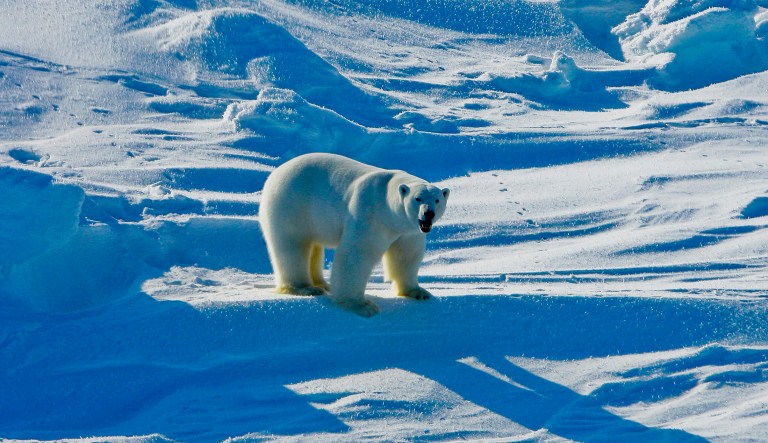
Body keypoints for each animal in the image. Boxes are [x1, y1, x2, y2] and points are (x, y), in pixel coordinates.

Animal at [259, 153, 449, 317]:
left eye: (437, 200)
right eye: (418, 198)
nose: (428, 214)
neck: (388, 208)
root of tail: (276, 173)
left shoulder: (408, 231)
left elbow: (406, 256)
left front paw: (418, 292)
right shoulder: (370, 215)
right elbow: (357, 254)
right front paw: (362, 305)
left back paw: (323, 284)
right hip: (292, 204)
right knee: (293, 245)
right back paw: (305, 288)